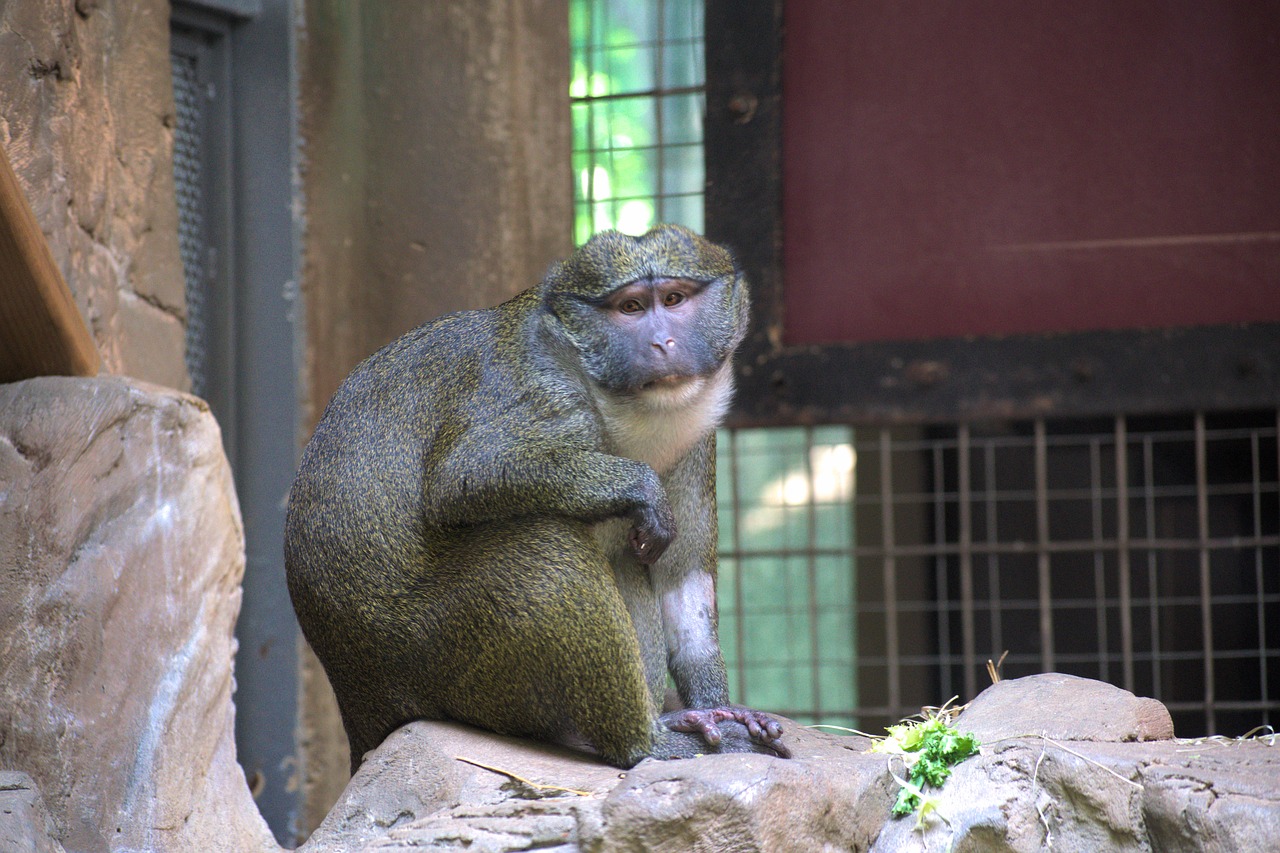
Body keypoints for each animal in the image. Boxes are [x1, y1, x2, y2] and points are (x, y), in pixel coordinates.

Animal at [286, 222, 788, 768]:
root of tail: (357, 701)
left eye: (674, 299)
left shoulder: (697, 442)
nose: (662, 342)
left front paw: (720, 705)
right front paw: (640, 487)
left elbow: (683, 575)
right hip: (433, 655)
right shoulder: (542, 391)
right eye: (630, 307)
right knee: (547, 550)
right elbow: (465, 475)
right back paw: (645, 743)